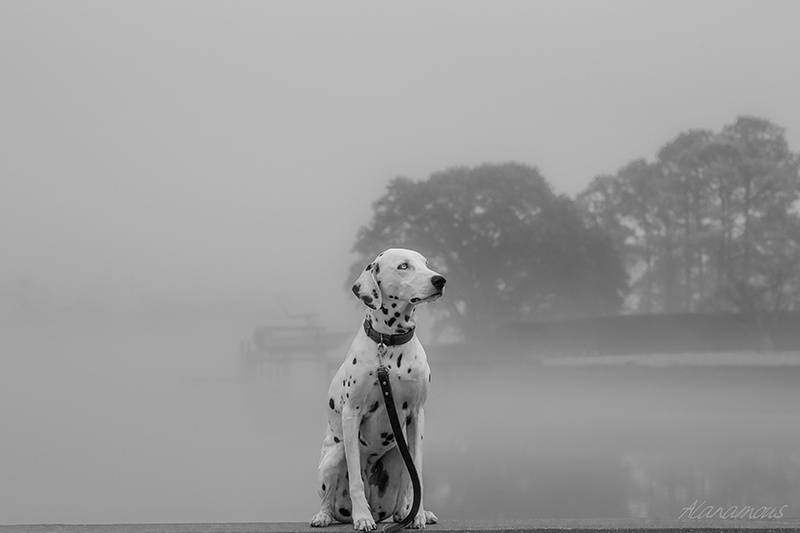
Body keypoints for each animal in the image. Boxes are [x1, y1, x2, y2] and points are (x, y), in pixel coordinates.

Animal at [310, 248, 446, 528]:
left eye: (425, 263)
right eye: (404, 266)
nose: (440, 280)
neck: (389, 344)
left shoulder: (417, 414)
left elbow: (418, 478)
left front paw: (418, 515)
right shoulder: (352, 414)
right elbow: (356, 481)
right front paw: (362, 518)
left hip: (400, 455)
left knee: (405, 493)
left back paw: (408, 513)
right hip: (334, 455)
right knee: (329, 498)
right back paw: (325, 515)